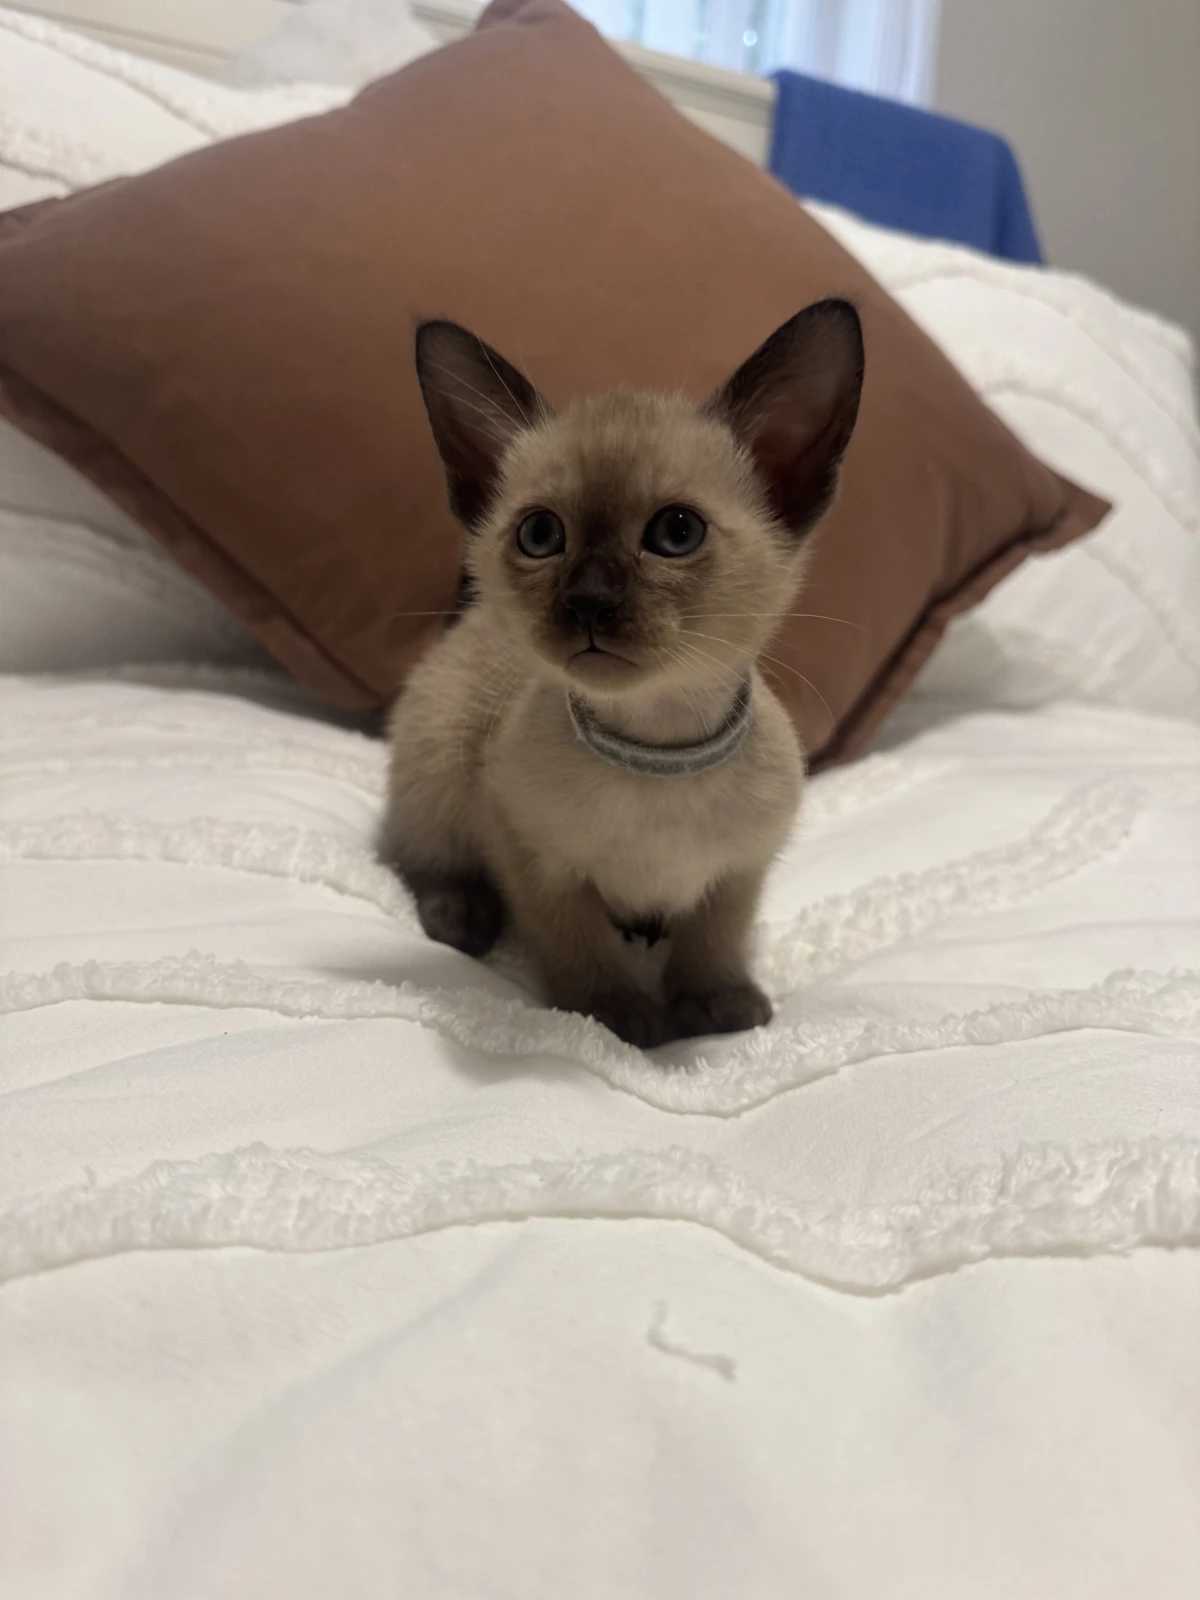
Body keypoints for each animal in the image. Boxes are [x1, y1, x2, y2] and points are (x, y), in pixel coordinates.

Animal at [383, 300, 864, 1048]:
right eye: (541, 536)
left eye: (676, 533)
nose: (588, 601)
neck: (656, 754)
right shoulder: (529, 853)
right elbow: (576, 942)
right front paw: (617, 1017)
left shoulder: (740, 870)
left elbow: (715, 938)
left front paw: (716, 1005)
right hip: (436, 762)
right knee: (420, 856)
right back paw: (461, 918)